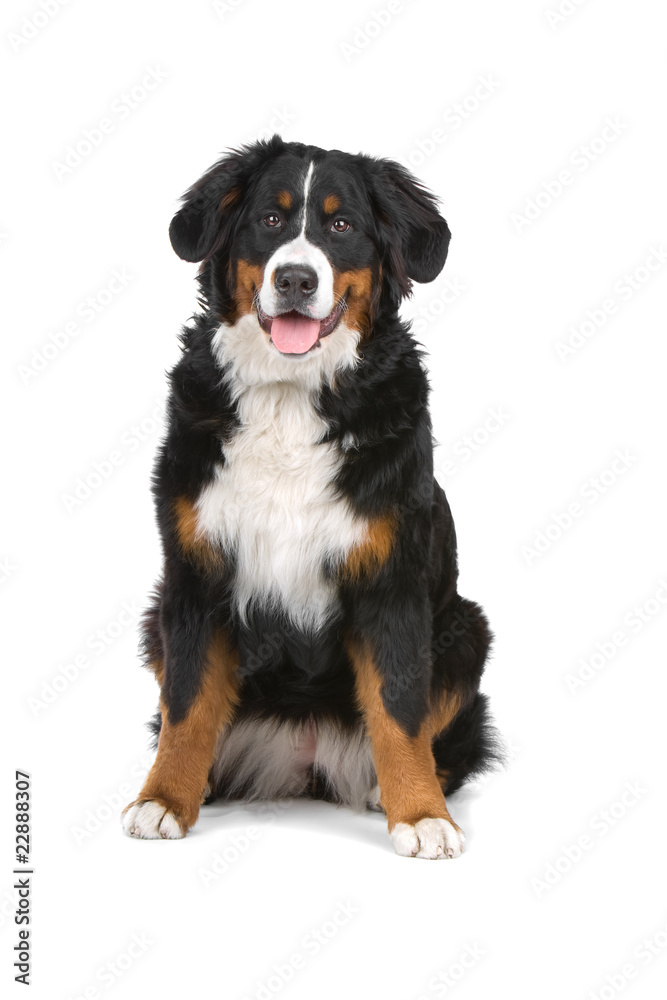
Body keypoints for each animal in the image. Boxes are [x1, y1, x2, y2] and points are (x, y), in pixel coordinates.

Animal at [121, 135, 500, 860]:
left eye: (342, 225)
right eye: (269, 220)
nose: (295, 279)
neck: (289, 399)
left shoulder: (391, 583)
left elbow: (400, 709)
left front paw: (420, 814)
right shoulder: (194, 576)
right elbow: (186, 703)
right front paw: (163, 800)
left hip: (465, 629)